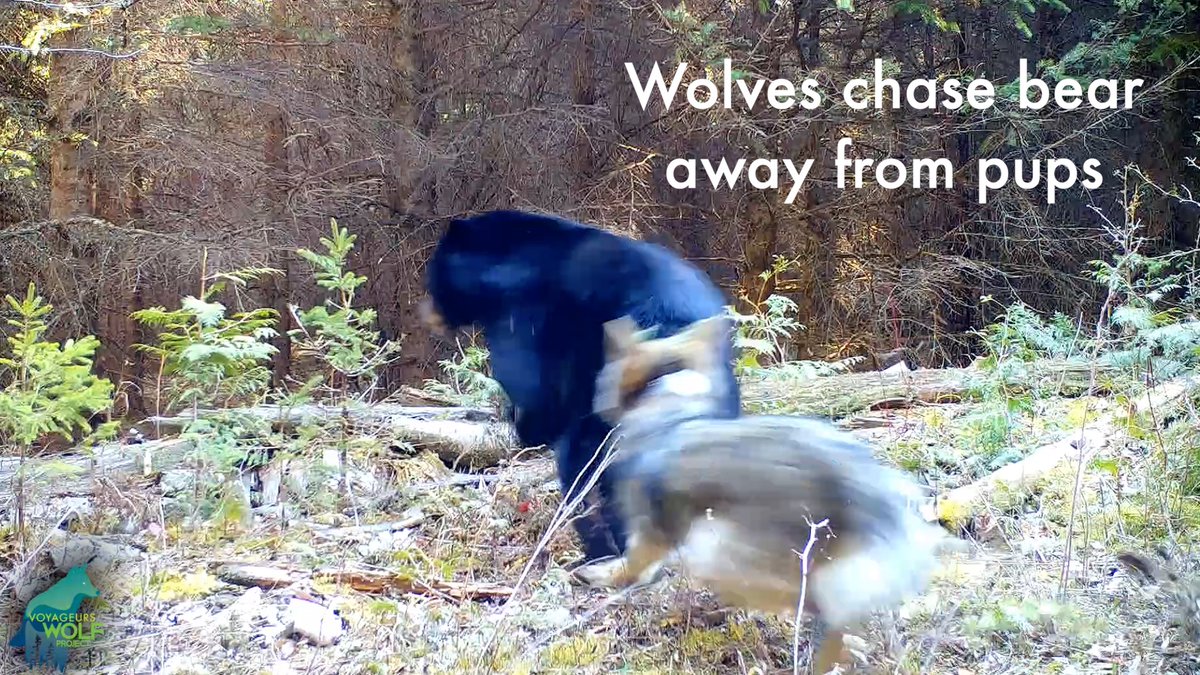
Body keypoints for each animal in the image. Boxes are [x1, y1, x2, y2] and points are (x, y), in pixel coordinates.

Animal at [421, 209, 741, 562]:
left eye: (432, 273)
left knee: (586, 470)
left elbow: (534, 390)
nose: (426, 313)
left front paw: (519, 420)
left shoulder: (524, 315)